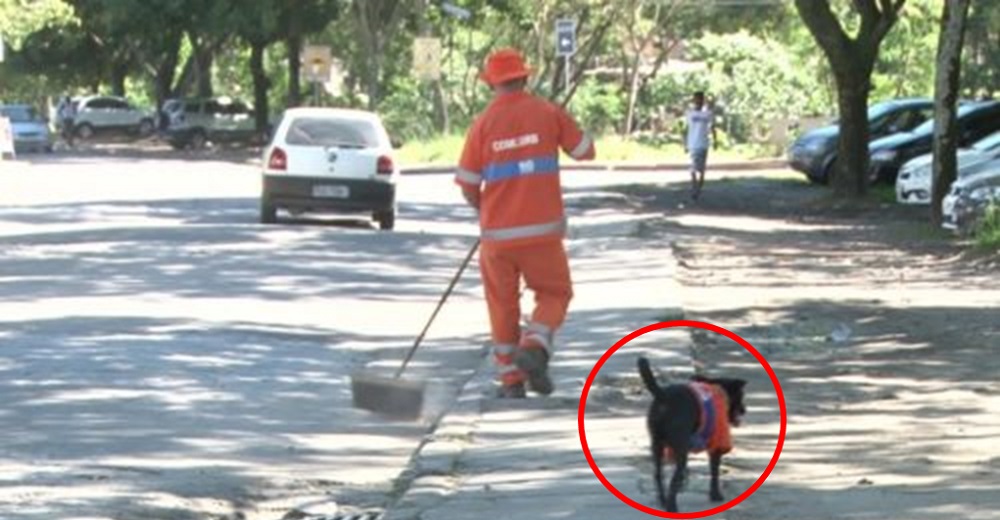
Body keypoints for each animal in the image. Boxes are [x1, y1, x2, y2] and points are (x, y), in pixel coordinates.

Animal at [636, 358, 748, 512]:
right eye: (741, 395)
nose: (744, 410)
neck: (719, 389)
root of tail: (663, 396)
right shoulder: (715, 447)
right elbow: (714, 472)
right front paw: (716, 495)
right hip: (681, 450)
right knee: (674, 478)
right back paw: (672, 506)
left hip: (657, 445)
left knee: (658, 474)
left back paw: (663, 501)